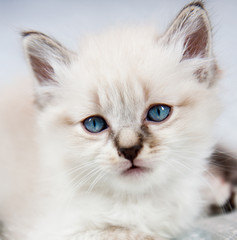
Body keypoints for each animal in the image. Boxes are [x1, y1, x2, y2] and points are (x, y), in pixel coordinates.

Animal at [0, 1, 233, 240]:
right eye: (94, 124)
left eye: (158, 113)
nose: (129, 150)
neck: (138, 200)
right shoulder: (60, 230)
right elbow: (133, 233)